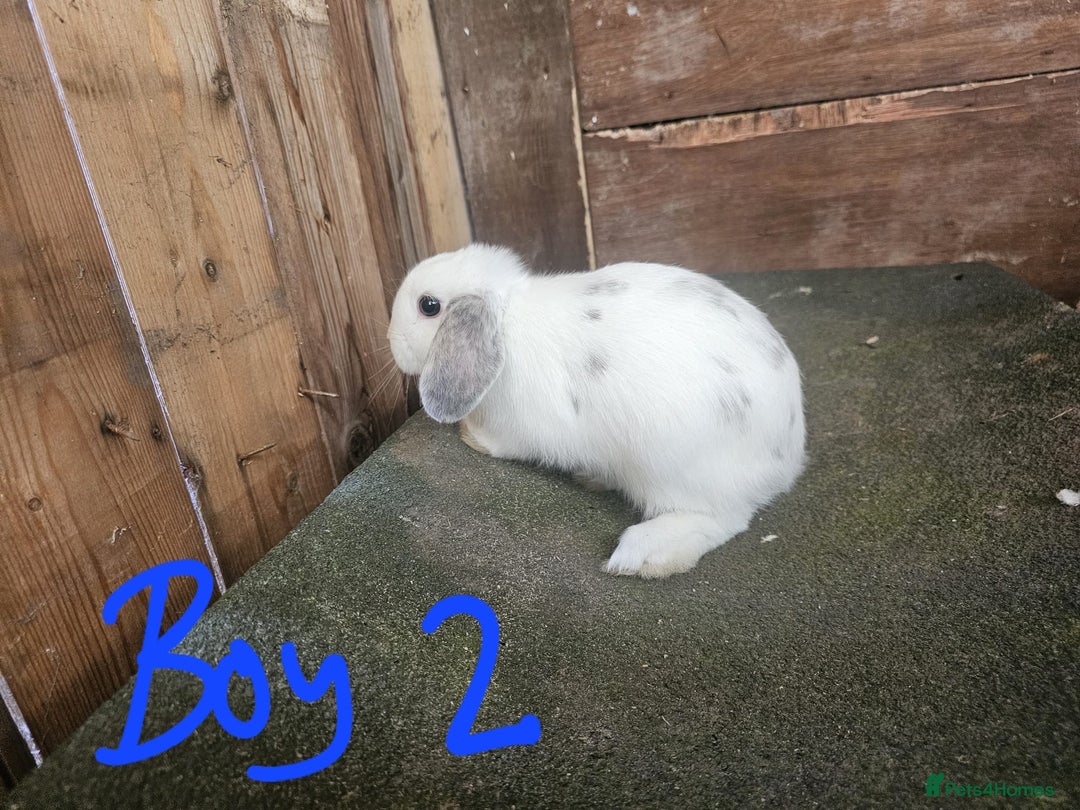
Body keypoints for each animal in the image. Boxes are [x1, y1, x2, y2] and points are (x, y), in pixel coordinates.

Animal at [387, 243, 805, 578]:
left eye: (429, 306)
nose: (391, 339)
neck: (505, 323)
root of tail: (786, 457)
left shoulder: (524, 432)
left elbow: (503, 444)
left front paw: (471, 436)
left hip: (672, 468)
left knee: (723, 519)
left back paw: (645, 554)